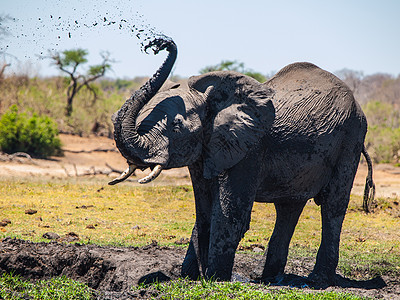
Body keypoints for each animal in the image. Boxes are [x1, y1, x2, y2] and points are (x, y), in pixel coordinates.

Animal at [108, 37, 376, 286]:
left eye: (176, 126)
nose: (158, 43)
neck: (212, 100)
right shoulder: (204, 150)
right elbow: (203, 211)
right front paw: (189, 277)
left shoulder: (249, 149)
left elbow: (230, 213)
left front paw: (215, 279)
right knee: (289, 208)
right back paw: (269, 278)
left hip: (350, 140)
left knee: (332, 206)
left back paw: (317, 280)